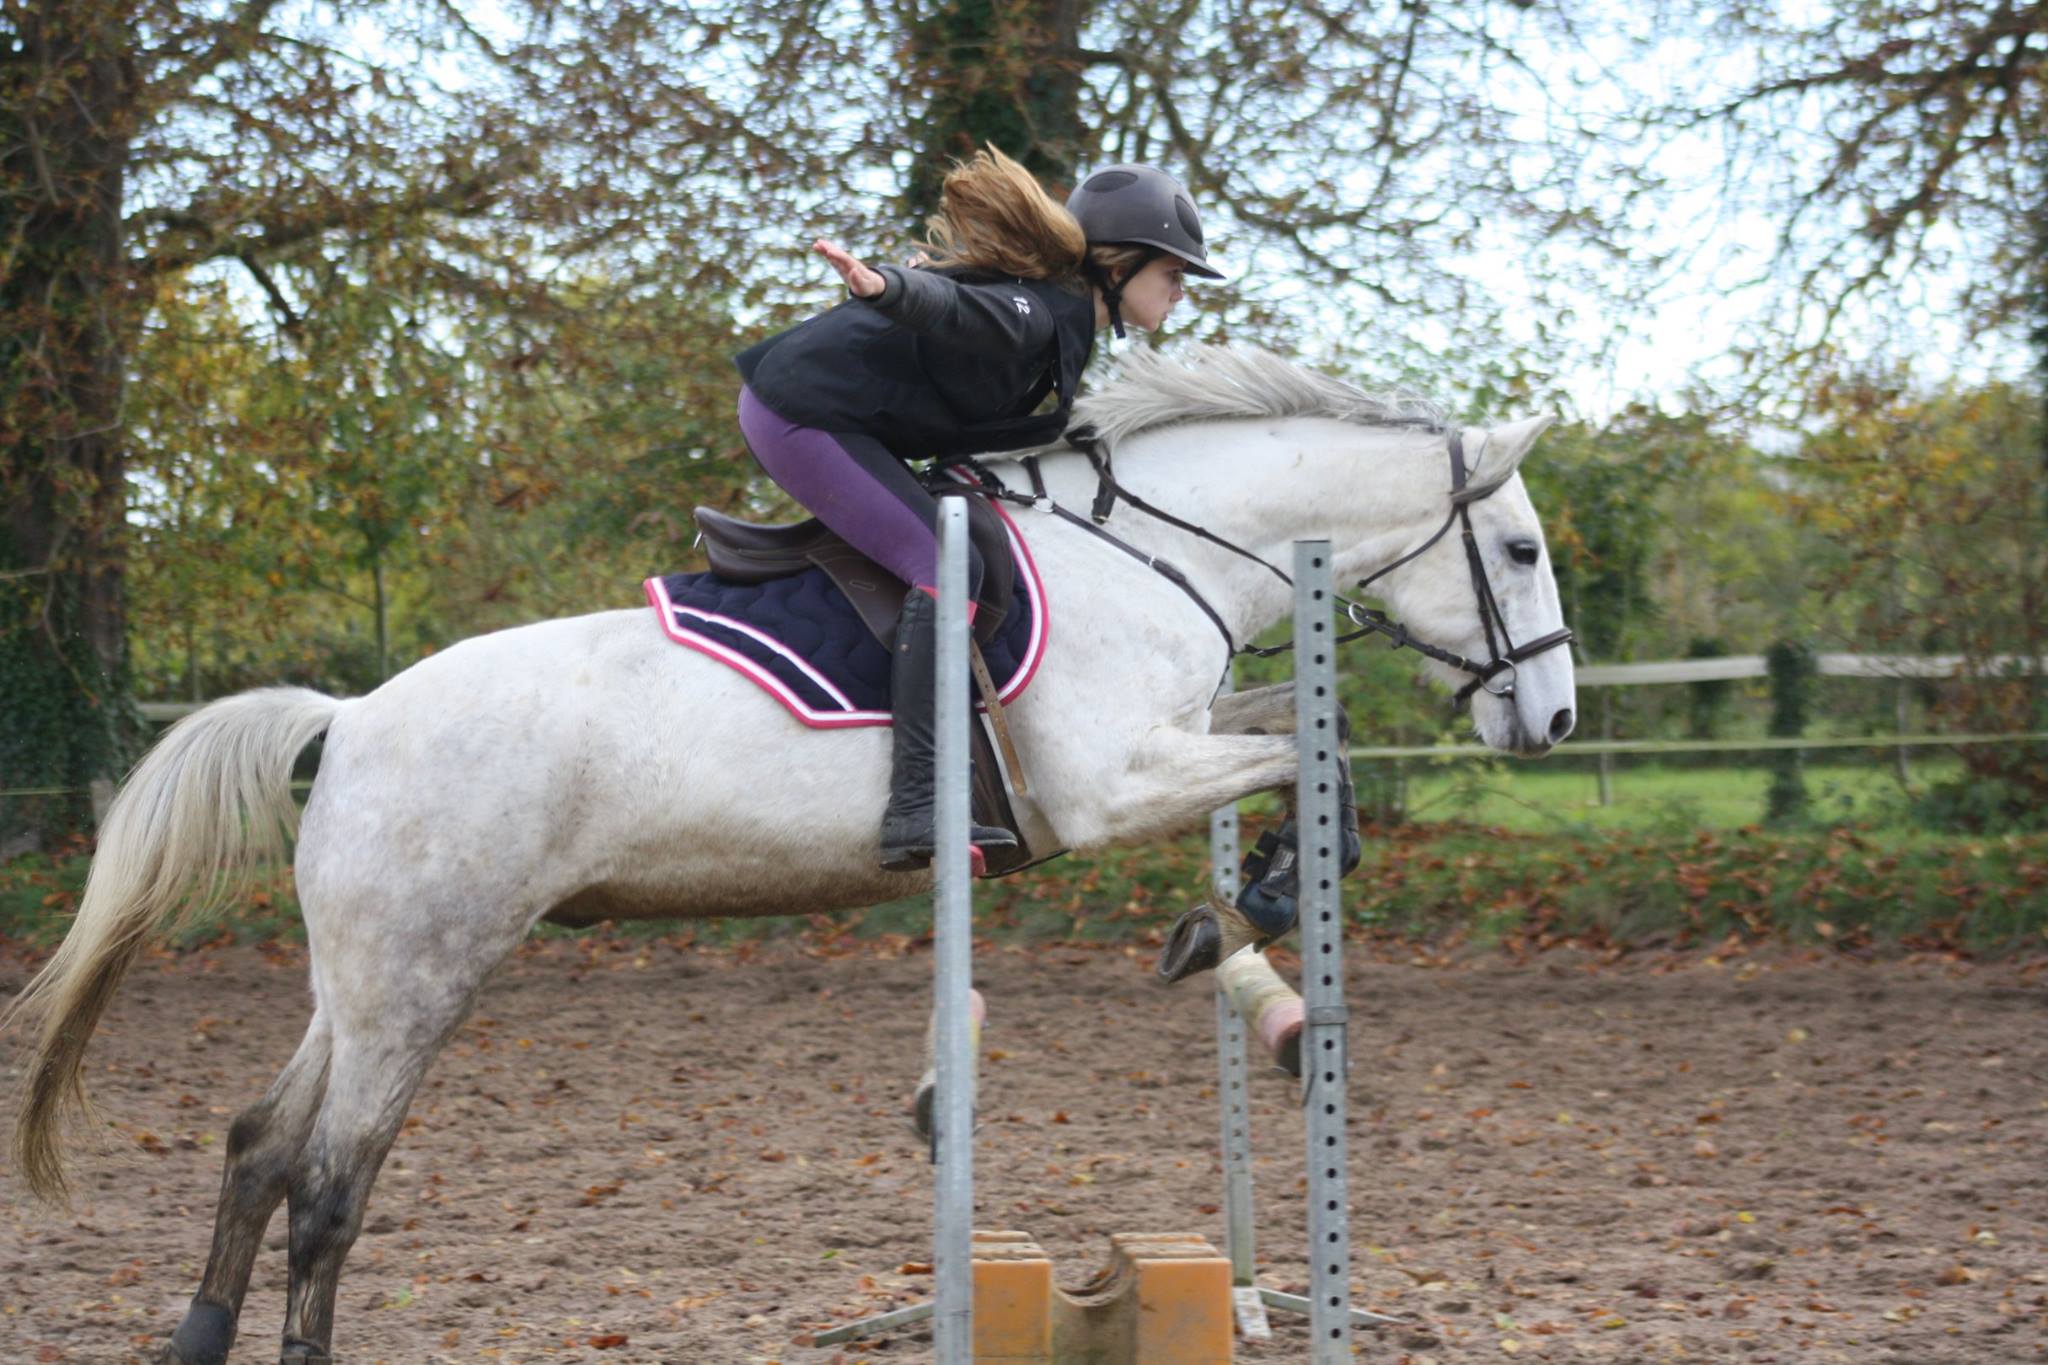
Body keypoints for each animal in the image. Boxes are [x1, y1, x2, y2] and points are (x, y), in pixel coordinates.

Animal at [0, 343, 1572, 1365]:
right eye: (1519, 551)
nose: (1549, 718)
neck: (1150, 553)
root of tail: (354, 716)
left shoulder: (1176, 737)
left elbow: (1305, 739)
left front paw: (1235, 916)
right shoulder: (1108, 783)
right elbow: (1321, 757)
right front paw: (1255, 908)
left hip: (358, 977)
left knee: (261, 1147)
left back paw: (197, 1339)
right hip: (423, 976)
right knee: (330, 1185)